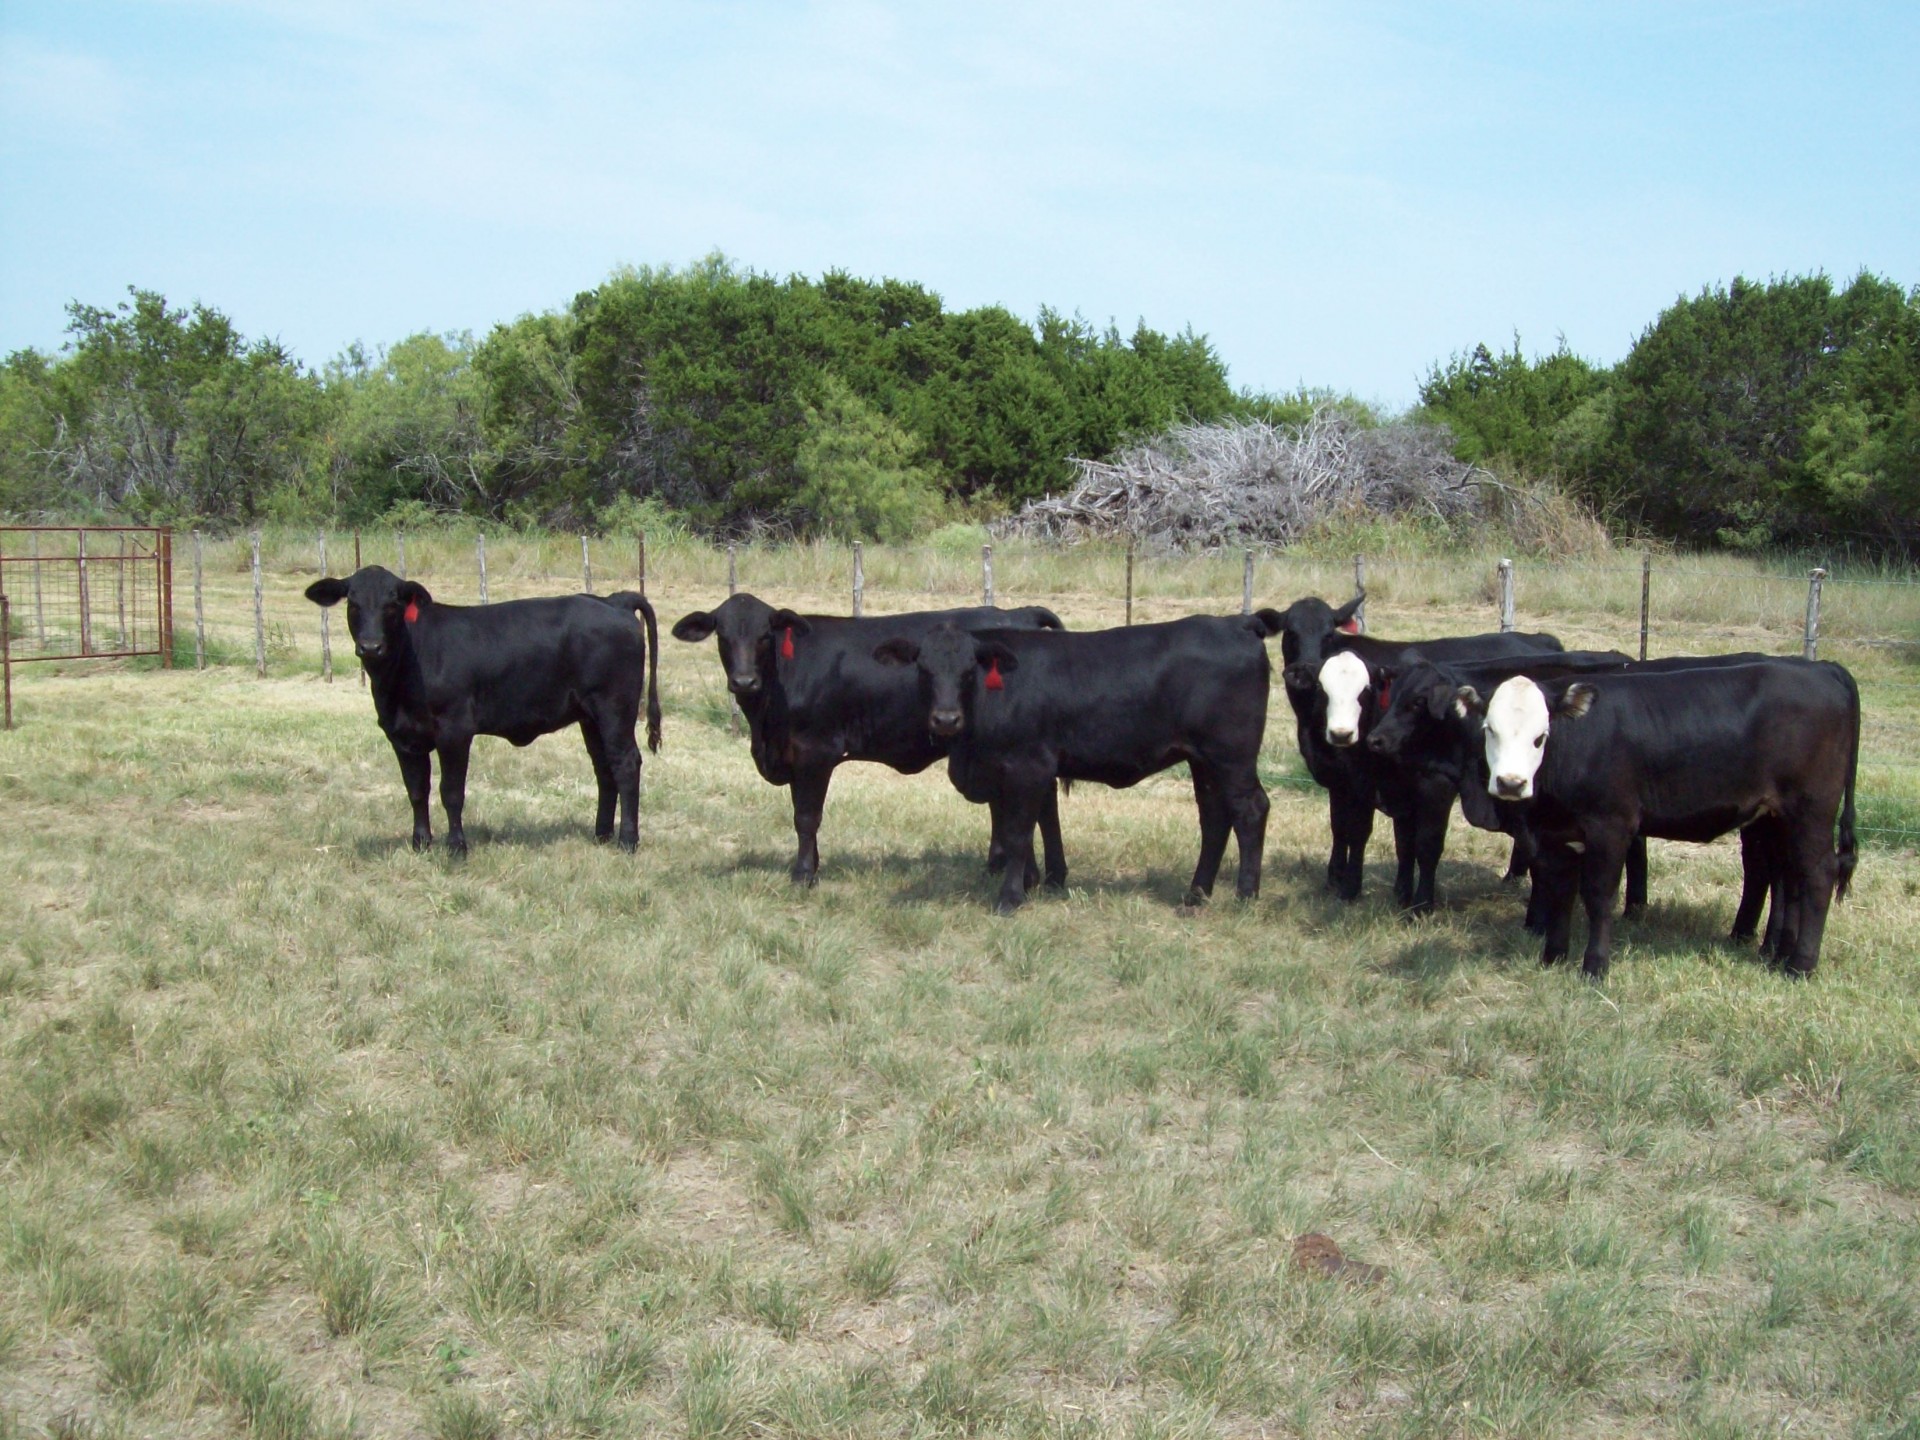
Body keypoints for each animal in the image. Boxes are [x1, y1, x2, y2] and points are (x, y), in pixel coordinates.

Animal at [299, 568, 660, 856]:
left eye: (393, 603)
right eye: (353, 603)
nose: (371, 646)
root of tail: (613, 600)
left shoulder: (455, 730)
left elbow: (451, 792)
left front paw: (456, 847)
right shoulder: (401, 736)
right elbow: (416, 790)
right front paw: (420, 844)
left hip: (614, 709)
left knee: (625, 764)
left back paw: (628, 841)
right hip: (590, 717)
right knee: (604, 769)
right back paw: (601, 835)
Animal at [672, 591, 1075, 887]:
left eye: (764, 636)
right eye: (723, 636)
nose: (744, 681)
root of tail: (1019, 612)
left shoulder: (816, 750)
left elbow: (806, 816)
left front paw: (802, 875)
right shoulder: (794, 755)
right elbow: (801, 813)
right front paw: (813, 864)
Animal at [879, 618, 1282, 913]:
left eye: (967, 670)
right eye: (924, 669)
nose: (946, 719)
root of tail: (1235, 622)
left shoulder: (1028, 766)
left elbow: (1018, 832)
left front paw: (1010, 898)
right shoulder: (1021, 772)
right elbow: (1037, 825)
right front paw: (1037, 882)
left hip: (1231, 757)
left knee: (1250, 811)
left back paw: (1245, 896)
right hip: (1203, 761)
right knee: (1214, 818)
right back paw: (1195, 895)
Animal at [1274, 595, 1559, 902]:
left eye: (1328, 634)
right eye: (1290, 631)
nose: (1303, 671)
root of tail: (1540, 638)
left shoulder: (1372, 779)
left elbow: (1365, 832)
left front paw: (1353, 888)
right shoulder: (1341, 779)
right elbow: (1342, 828)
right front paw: (1336, 881)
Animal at [1451, 664, 1858, 983]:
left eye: (1541, 736)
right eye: (1489, 729)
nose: (1511, 783)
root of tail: (1821, 668)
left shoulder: (1610, 828)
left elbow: (1599, 896)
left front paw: (1594, 967)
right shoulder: (1555, 835)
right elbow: (1560, 893)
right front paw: (1552, 958)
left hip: (1810, 811)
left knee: (1819, 875)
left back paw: (1800, 966)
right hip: (1777, 818)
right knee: (1790, 878)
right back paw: (1779, 955)